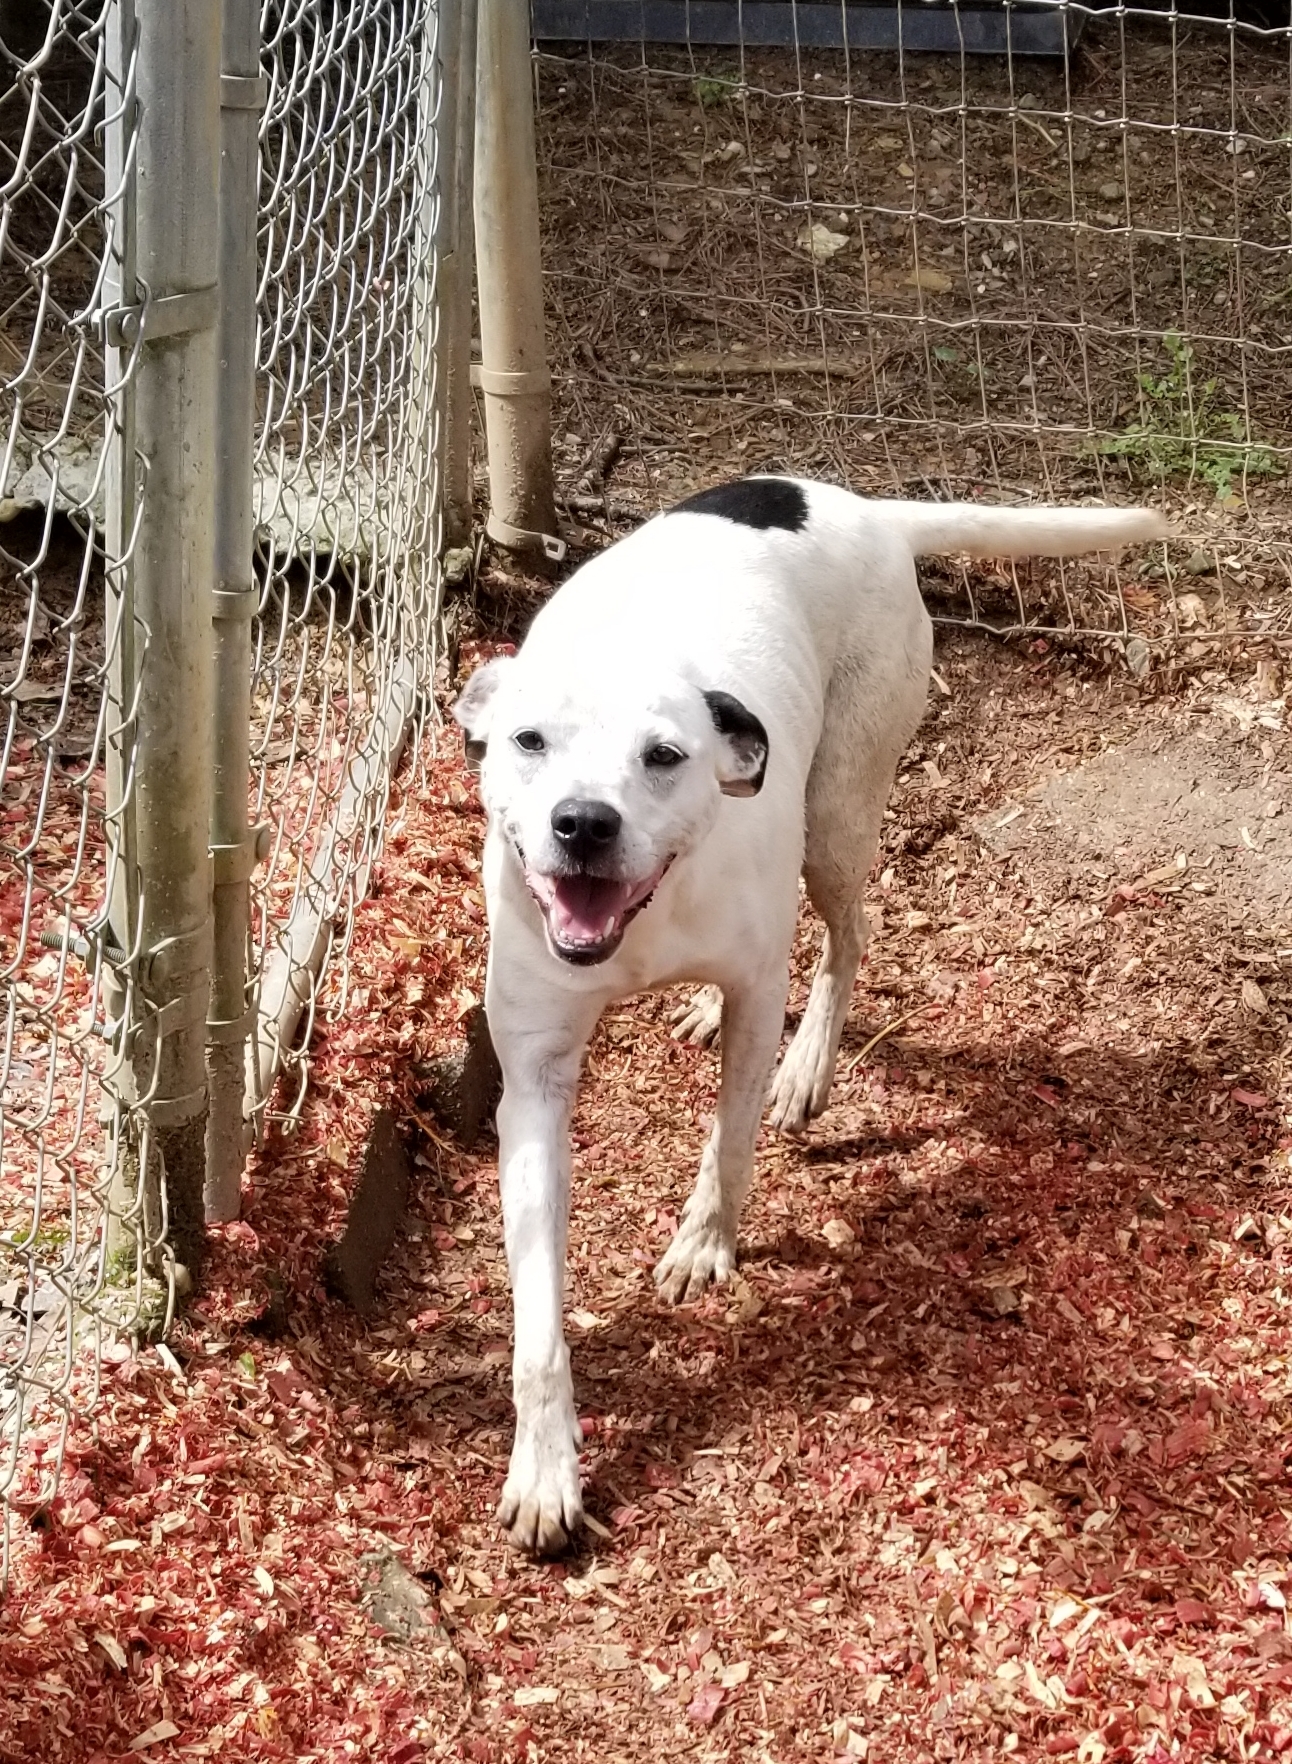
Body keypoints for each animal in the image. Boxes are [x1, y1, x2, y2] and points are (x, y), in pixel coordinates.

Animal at [455, 476, 1171, 1552]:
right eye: (529, 741)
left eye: (664, 756)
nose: (582, 823)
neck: (649, 913)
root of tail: (866, 508)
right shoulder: (533, 1078)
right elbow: (538, 1318)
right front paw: (545, 1469)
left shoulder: (759, 990)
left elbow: (730, 1140)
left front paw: (705, 1243)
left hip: (834, 814)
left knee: (847, 937)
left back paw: (806, 1068)